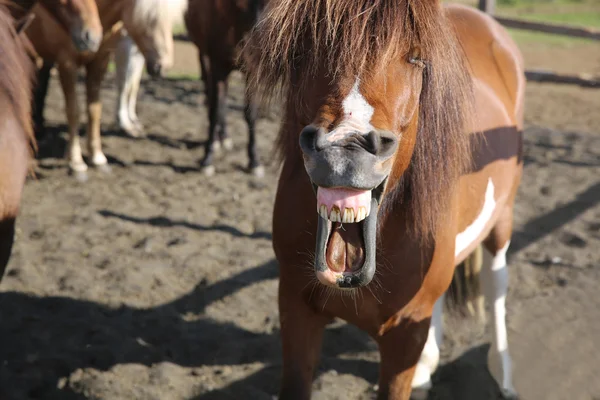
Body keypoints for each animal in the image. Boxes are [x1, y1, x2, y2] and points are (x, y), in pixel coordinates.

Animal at [26, 0, 180, 180]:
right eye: (150, 19)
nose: (163, 67)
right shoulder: (67, 63)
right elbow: (73, 111)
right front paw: (76, 162)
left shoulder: (101, 61)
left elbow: (94, 110)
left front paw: (97, 157)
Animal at [185, 0, 264, 177]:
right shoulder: (217, 67)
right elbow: (214, 110)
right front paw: (207, 158)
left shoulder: (252, 72)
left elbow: (251, 114)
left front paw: (254, 160)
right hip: (204, 57)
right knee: (212, 97)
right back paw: (216, 140)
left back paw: (224, 136)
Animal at [246, 0, 524, 400]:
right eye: (305, 48)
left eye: (416, 57)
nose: (345, 150)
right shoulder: (295, 307)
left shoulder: (405, 333)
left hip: (502, 219)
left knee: (496, 282)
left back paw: (502, 373)